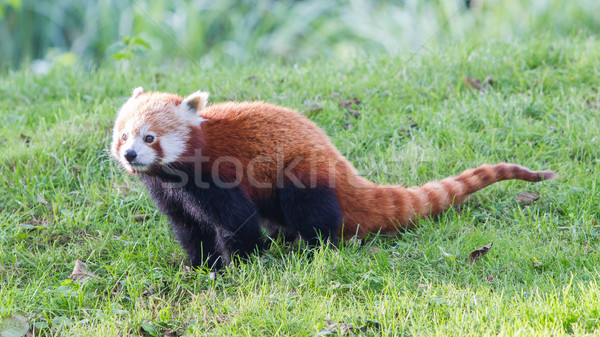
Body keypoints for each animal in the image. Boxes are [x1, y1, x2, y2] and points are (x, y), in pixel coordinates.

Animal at [110, 88, 556, 270]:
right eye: (124, 136)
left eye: (150, 137)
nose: (130, 155)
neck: (175, 172)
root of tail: (340, 162)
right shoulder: (169, 192)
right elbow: (188, 227)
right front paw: (199, 266)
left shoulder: (218, 175)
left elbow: (238, 223)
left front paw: (240, 265)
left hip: (303, 172)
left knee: (311, 210)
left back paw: (312, 247)